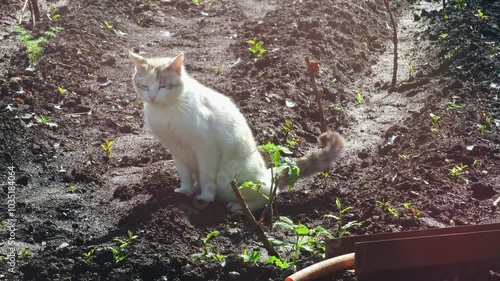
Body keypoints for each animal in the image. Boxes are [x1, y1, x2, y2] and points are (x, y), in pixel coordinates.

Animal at [129, 50, 344, 212]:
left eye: (163, 86)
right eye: (145, 86)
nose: (153, 97)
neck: (165, 112)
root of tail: (267, 174)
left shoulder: (206, 150)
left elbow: (206, 177)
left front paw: (205, 197)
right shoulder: (176, 150)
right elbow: (185, 175)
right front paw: (185, 191)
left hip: (236, 182)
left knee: (269, 196)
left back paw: (238, 207)